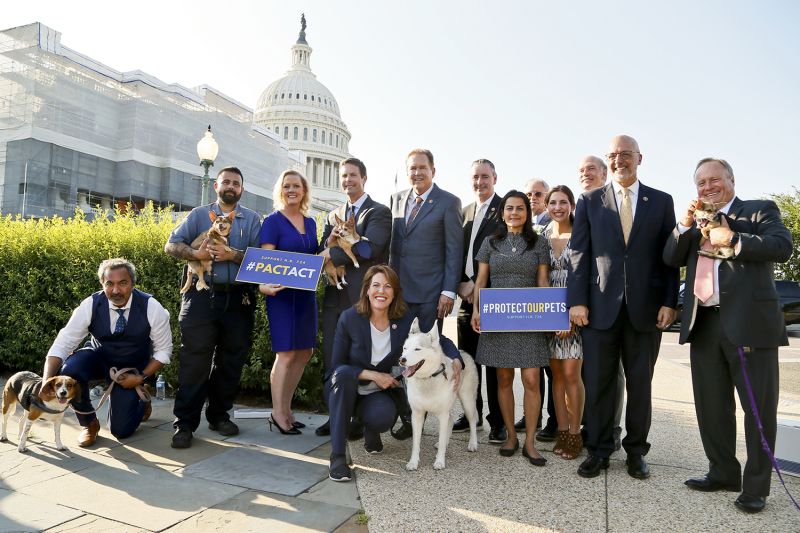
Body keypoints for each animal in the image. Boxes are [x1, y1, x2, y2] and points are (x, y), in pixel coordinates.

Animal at [398, 318, 478, 468]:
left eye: (417, 349)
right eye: (405, 348)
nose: (402, 359)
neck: (428, 378)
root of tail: (464, 352)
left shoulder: (442, 413)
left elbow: (441, 439)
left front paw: (440, 461)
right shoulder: (417, 415)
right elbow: (416, 443)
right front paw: (413, 462)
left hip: (467, 401)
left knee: (472, 421)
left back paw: (473, 443)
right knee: (451, 419)